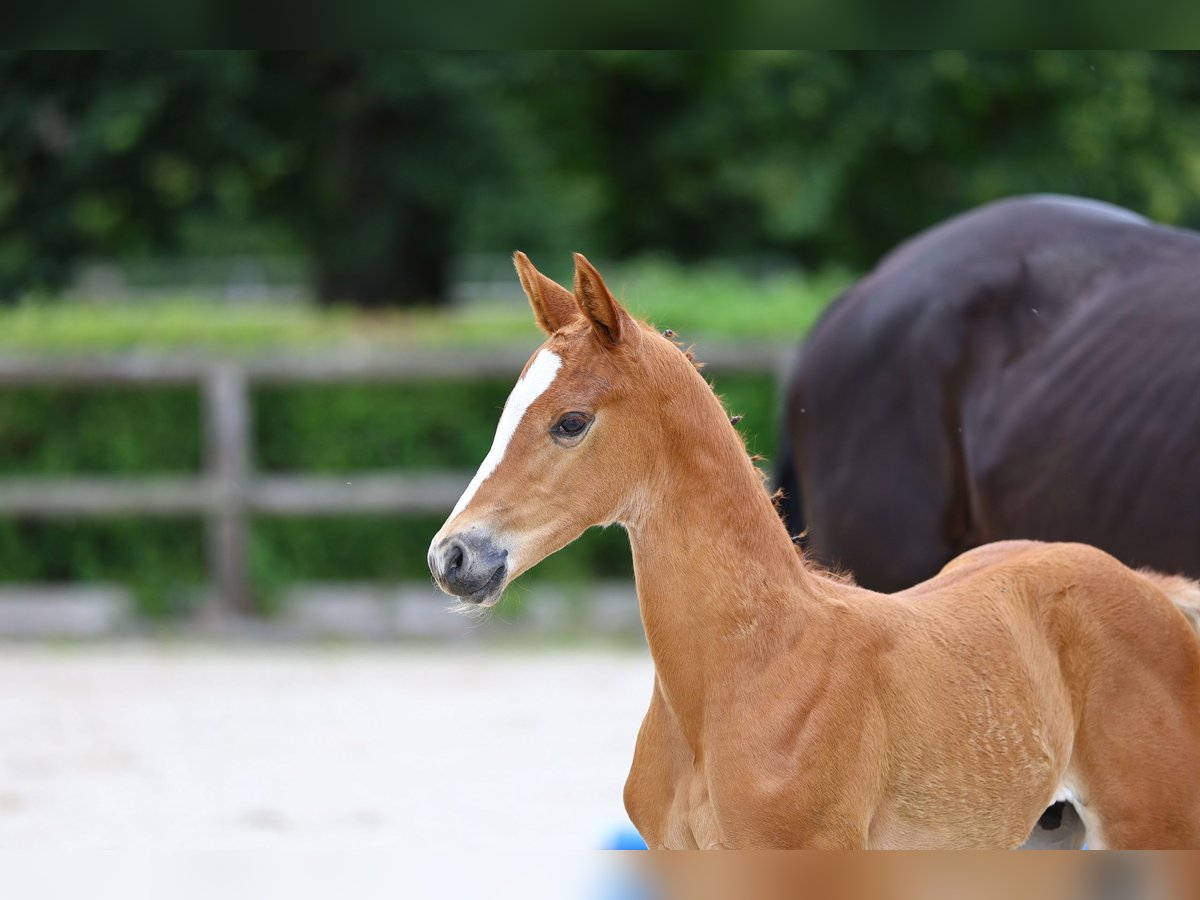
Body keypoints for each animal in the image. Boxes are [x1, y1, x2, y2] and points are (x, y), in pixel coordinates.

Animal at [429, 255, 1200, 854]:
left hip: (1155, 830)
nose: (452, 559)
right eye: (505, 413)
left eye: (570, 422)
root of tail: (1151, 590)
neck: (744, 666)